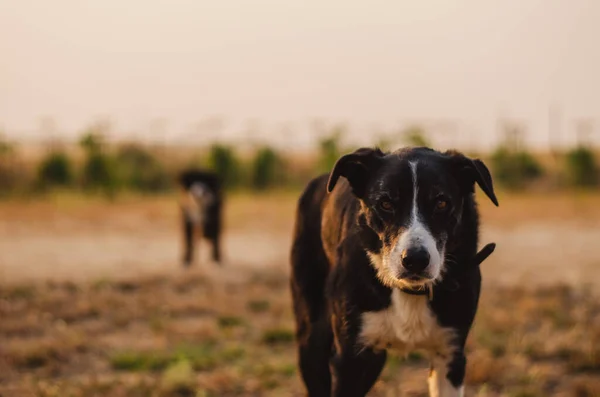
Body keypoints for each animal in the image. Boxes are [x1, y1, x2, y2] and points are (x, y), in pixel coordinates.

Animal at [290, 147, 496, 396]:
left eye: (441, 203)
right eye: (386, 204)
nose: (415, 260)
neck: (410, 291)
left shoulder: (451, 354)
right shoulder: (350, 358)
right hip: (312, 338)